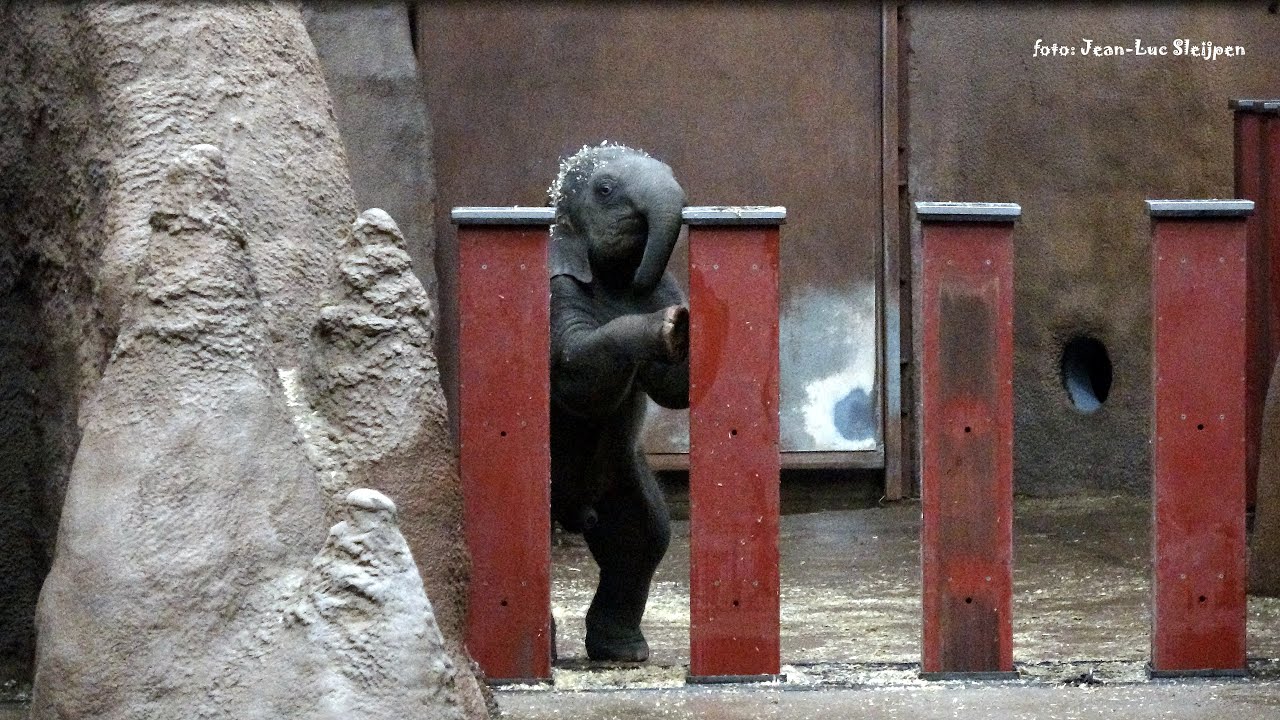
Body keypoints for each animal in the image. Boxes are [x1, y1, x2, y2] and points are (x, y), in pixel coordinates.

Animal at [547, 143, 689, 662]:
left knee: (640, 534)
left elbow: (674, 390)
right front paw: (667, 326)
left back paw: (623, 653)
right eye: (604, 189)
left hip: (617, 472)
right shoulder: (553, 286)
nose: (643, 282)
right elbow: (572, 366)